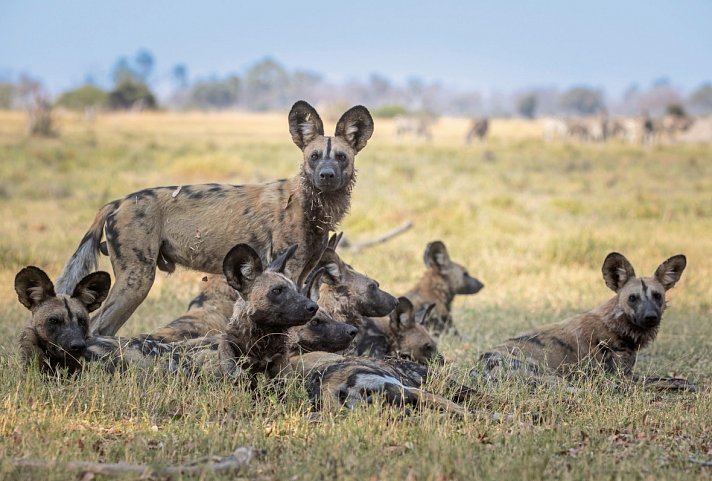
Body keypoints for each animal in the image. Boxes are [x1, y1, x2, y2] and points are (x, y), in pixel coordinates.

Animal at [55, 99, 376, 336]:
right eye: (314, 156)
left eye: (341, 157)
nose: (326, 175)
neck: (312, 206)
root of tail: (116, 202)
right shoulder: (291, 270)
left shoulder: (304, 271)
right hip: (137, 280)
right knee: (98, 327)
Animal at [472, 251, 696, 390]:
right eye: (633, 298)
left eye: (657, 296)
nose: (650, 317)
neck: (616, 325)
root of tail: (481, 366)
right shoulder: (624, 377)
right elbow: (673, 380)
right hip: (550, 376)